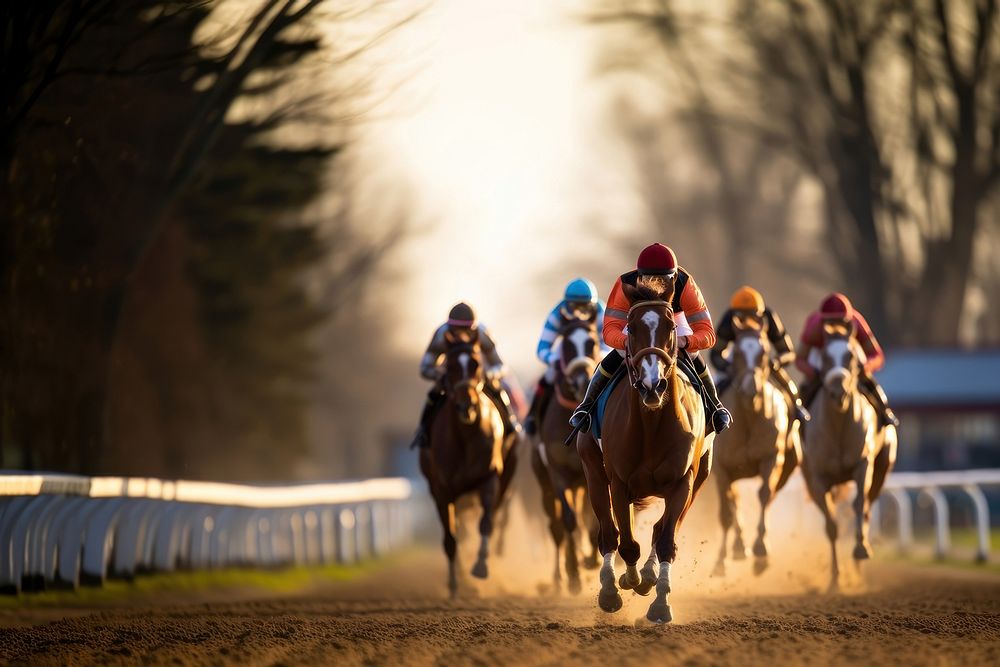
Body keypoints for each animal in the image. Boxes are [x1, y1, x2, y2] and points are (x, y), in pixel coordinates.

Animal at [420, 326, 520, 596]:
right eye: (451, 365)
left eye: (476, 364)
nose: (467, 406)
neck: (465, 437)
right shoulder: (441, 490)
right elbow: (451, 538)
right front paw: (455, 584)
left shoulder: (488, 478)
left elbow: (485, 523)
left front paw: (481, 567)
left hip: (506, 478)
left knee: (493, 516)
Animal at [580, 282, 712, 628]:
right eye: (631, 326)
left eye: (670, 327)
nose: (653, 385)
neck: (652, 426)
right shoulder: (619, 483)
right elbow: (626, 542)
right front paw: (623, 584)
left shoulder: (683, 482)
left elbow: (665, 540)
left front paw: (660, 603)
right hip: (593, 472)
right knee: (608, 534)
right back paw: (612, 585)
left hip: (699, 480)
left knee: (659, 529)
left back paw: (650, 575)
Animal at [716, 320, 800, 576]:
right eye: (738, 352)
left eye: (763, 352)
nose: (750, 387)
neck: (749, 416)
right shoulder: (721, 469)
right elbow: (726, 513)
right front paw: (720, 562)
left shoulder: (771, 458)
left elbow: (763, 495)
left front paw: (761, 551)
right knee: (732, 502)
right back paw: (737, 548)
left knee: (768, 496)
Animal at [804, 326, 900, 592]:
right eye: (825, 356)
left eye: (851, 356)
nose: (839, 392)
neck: (838, 425)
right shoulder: (818, 478)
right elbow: (831, 525)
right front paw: (835, 578)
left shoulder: (862, 465)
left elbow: (858, 505)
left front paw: (860, 550)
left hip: (882, 468)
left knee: (866, 509)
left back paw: (859, 567)